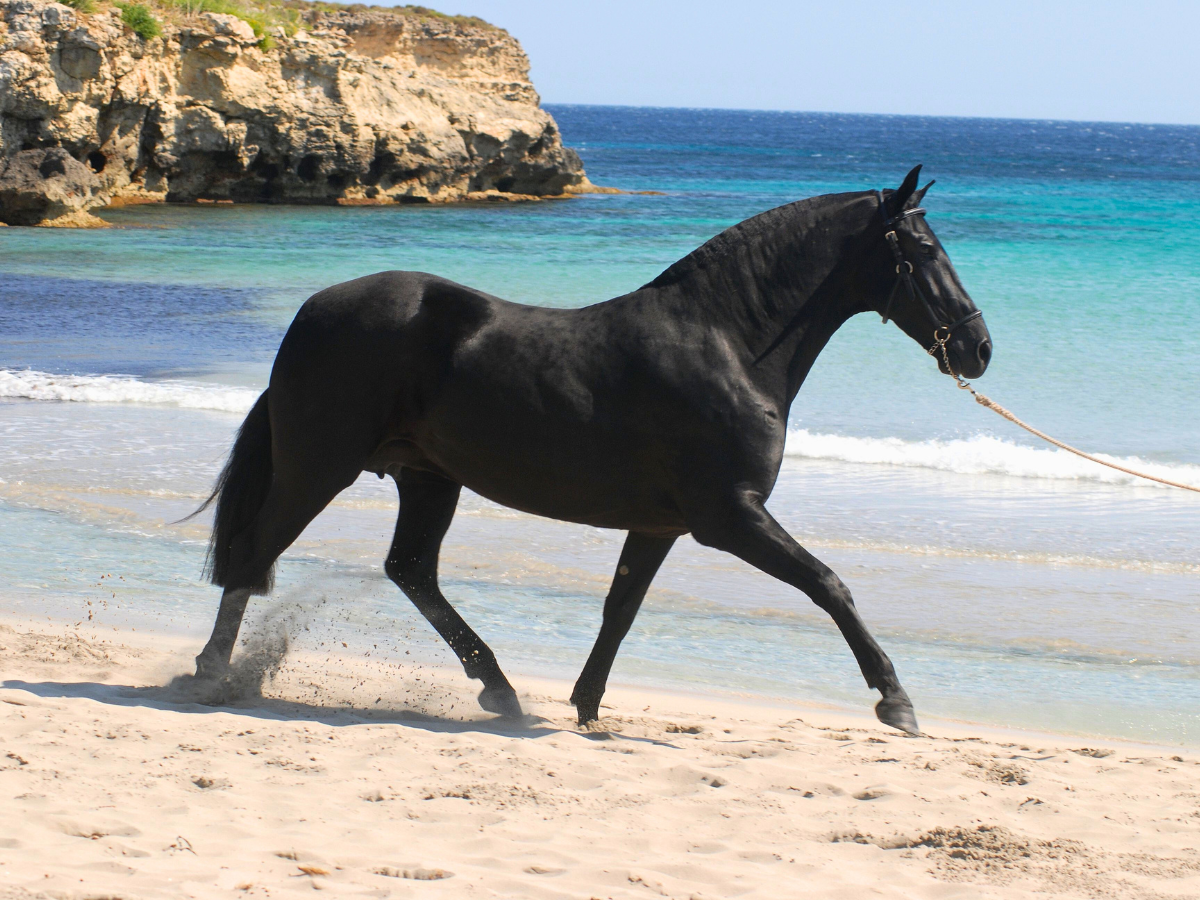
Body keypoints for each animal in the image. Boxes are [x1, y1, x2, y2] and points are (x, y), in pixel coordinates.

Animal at [191, 165, 992, 735]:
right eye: (924, 251)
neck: (727, 344)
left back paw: (499, 688)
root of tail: (312, 311)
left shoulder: (663, 524)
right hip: (318, 468)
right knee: (256, 553)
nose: (979, 349)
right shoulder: (731, 518)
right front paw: (896, 701)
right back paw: (212, 676)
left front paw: (587, 706)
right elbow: (829, 585)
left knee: (410, 570)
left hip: (428, 478)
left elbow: (620, 609)